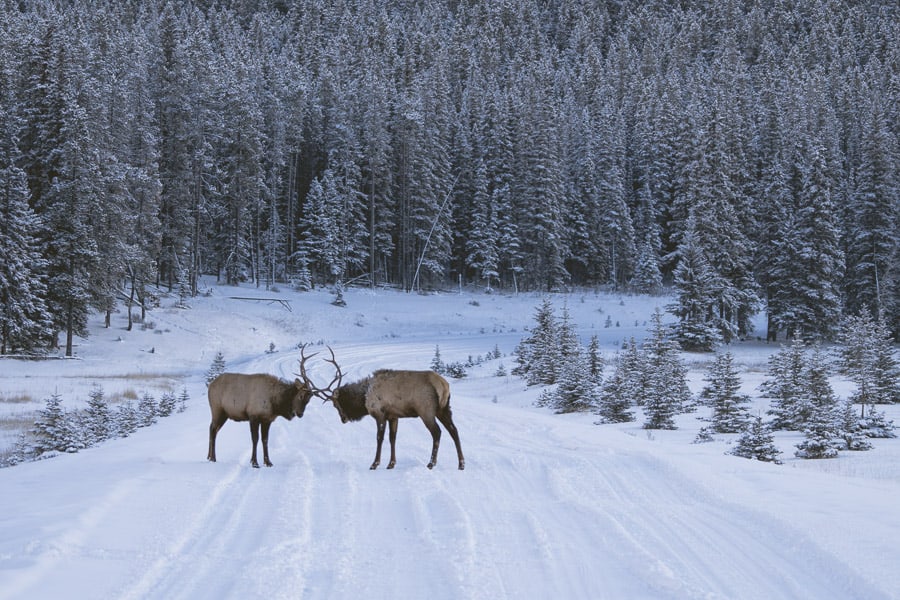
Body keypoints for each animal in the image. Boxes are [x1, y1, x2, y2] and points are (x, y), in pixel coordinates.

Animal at [308, 350, 468, 472]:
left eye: (336, 404)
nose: (343, 419)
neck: (364, 397)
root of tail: (443, 385)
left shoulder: (380, 414)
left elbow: (379, 438)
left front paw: (375, 464)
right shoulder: (393, 416)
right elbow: (393, 438)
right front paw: (391, 464)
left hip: (426, 410)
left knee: (437, 432)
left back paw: (431, 463)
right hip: (444, 409)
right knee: (454, 430)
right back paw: (461, 463)